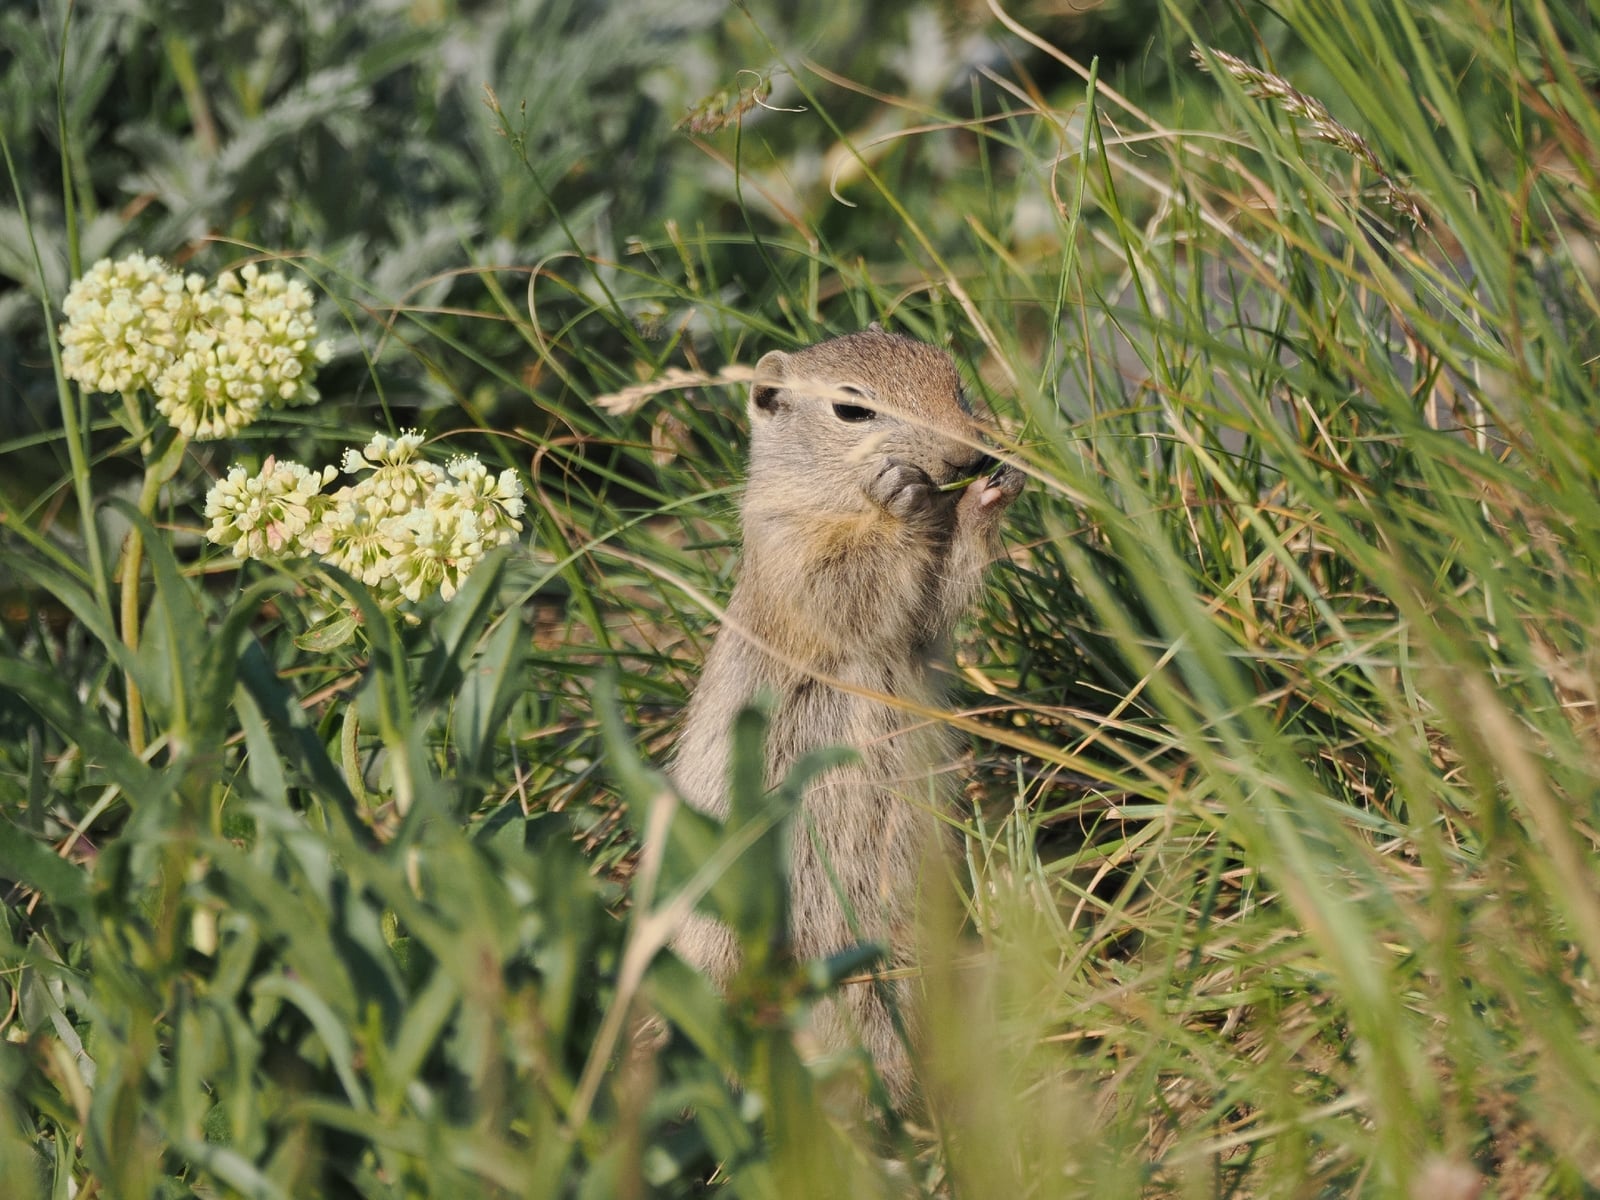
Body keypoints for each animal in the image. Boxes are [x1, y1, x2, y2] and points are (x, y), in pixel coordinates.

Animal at [670, 325, 1023, 1106]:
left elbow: (937, 601)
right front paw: (901, 500)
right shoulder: (788, 549)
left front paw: (990, 492)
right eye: (851, 410)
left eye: (956, 384)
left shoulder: (923, 626)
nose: (969, 454)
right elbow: (855, 590)